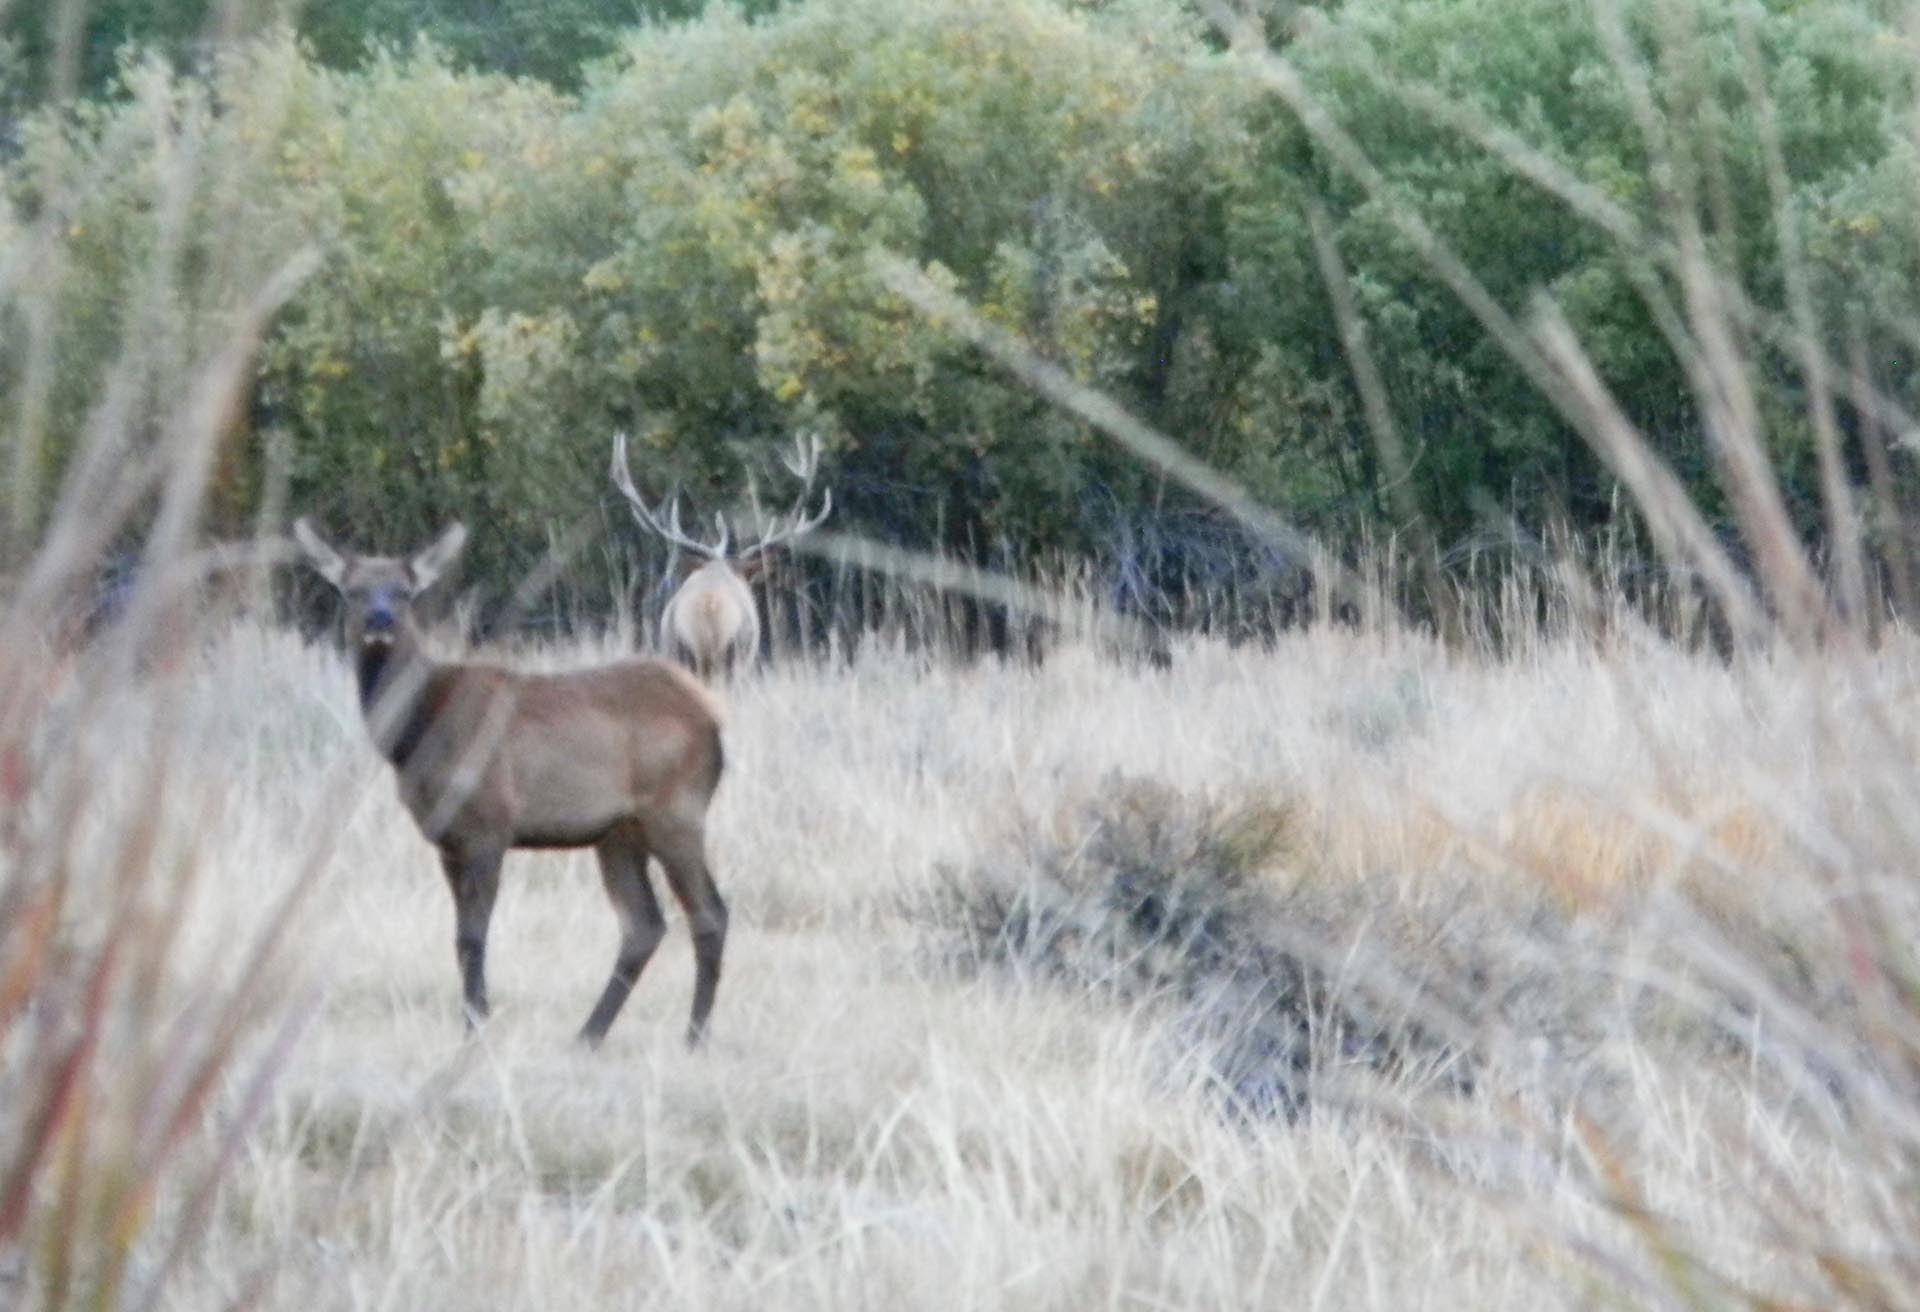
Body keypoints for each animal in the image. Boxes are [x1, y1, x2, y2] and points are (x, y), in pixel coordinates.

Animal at [290, 517, 729, 1048]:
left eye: (404, 592)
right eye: (352, 590)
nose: (380, 622)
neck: (418, 734)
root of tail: (713, 723)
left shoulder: (488, 825)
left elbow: (473, 935)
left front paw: (477, 1025)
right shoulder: (447, 840)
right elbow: (460, 936)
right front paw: (474, 1020)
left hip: (676, 810)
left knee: (709, 913)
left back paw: (694, 1035)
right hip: (618, 833)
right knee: (643, 925)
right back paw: (588, 1034)